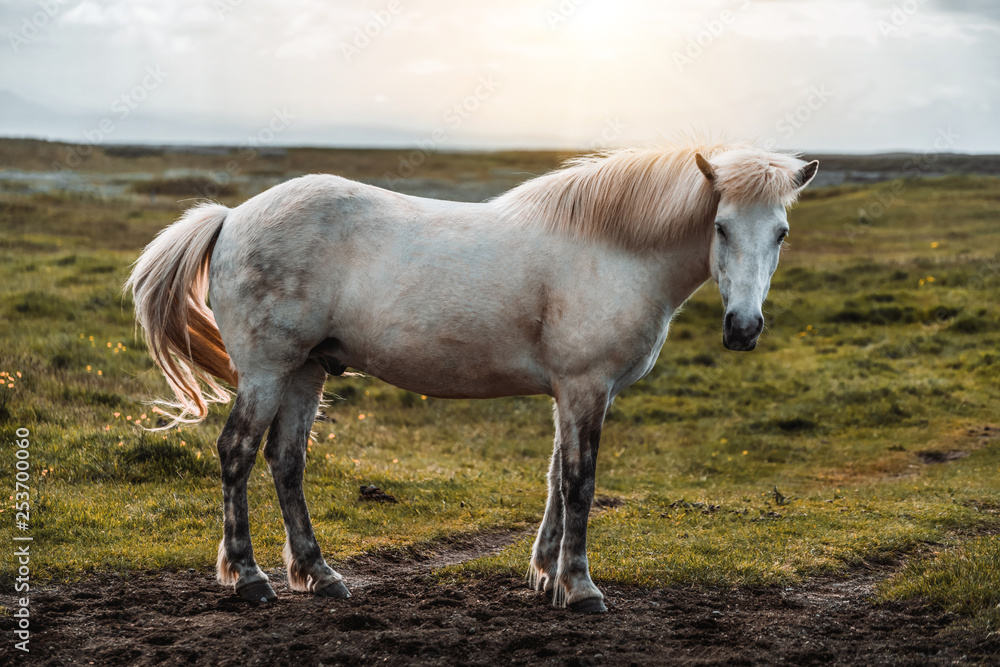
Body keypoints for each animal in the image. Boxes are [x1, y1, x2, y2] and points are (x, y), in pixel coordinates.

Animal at [129, 141, 820, 612]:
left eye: (782, 233)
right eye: (721, 227)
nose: (743, 329)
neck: (614, 251)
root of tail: (232, 216)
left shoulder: (570, 393)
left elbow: (555, 477)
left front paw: (544, 576)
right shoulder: (585, 388)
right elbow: (580, 482)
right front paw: (580, 587)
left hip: (305, 372)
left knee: (286, 462)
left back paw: (319, 575)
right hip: (269, 371)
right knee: (237, 452)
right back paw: (249, 577)